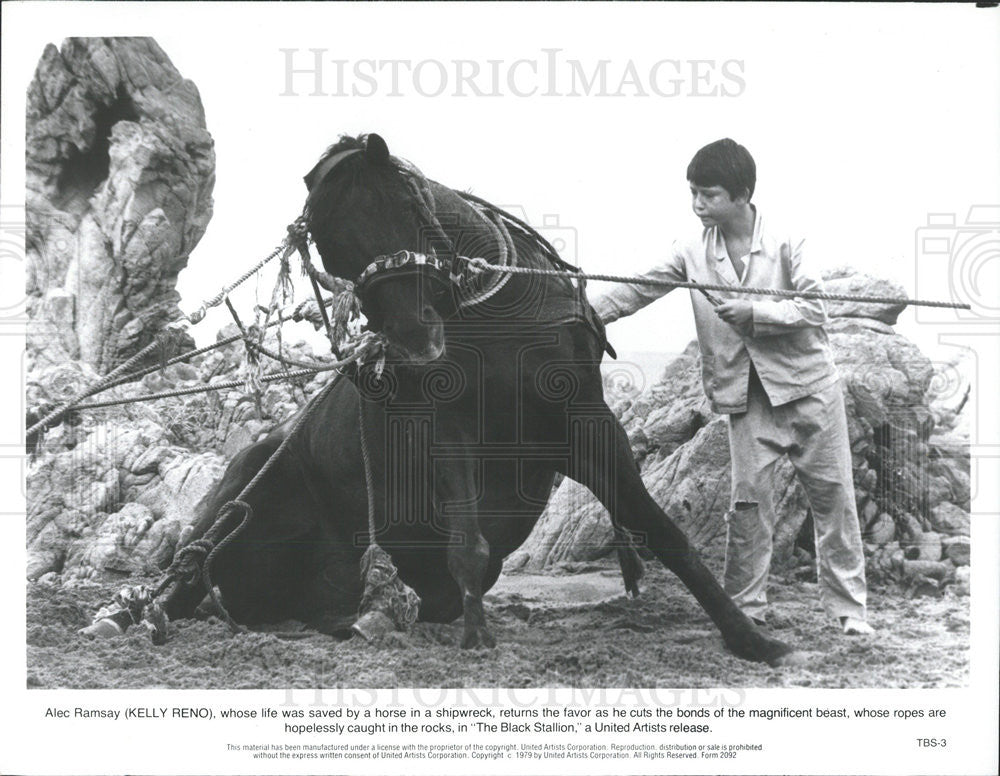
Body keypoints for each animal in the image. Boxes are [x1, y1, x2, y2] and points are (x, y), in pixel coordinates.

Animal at [164, 135, 800, 668]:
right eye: (329, 248)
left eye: (400, 208)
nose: (415, 342)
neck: (499, 320)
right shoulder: (453, 430)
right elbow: (468, 545)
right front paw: (477, 639)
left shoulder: (585, 427)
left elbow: (661, 529)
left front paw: (749, 637)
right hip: (238, 507)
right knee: (186, 579)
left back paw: (364, 617)